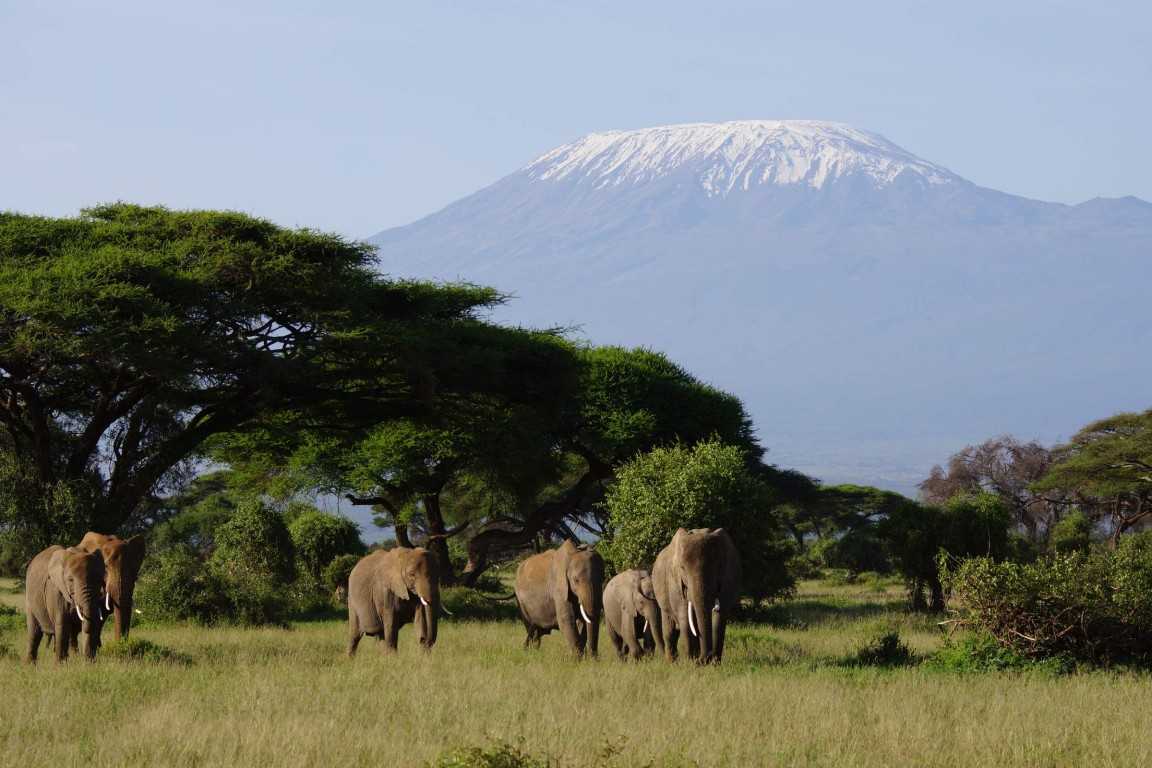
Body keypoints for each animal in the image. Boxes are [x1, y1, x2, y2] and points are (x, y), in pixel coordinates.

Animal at [654, 525, 741, 663]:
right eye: (682, 568)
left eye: (717, 567)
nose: (704, 659)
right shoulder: (675, 583)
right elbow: (685, 617)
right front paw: (691, 662)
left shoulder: (728, 577)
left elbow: (720, 618)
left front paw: (714, 663)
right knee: (670, 630)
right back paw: (672, 662)